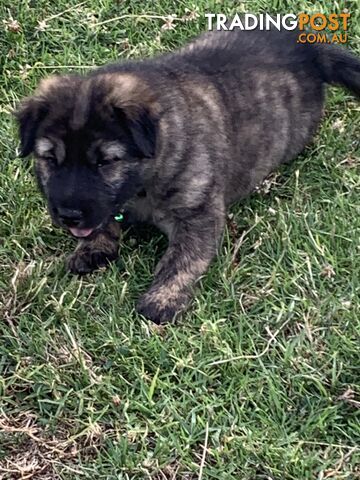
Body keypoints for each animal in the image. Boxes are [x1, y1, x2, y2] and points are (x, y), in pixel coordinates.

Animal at [15, 29, 360, 322]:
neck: (144, 183)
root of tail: (308, 49)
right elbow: (104, 221)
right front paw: (92, 248)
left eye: (105, 162)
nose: (68, 216)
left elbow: (182, 258)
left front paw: (162, 299)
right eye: (50, 159)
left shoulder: (198, 212)